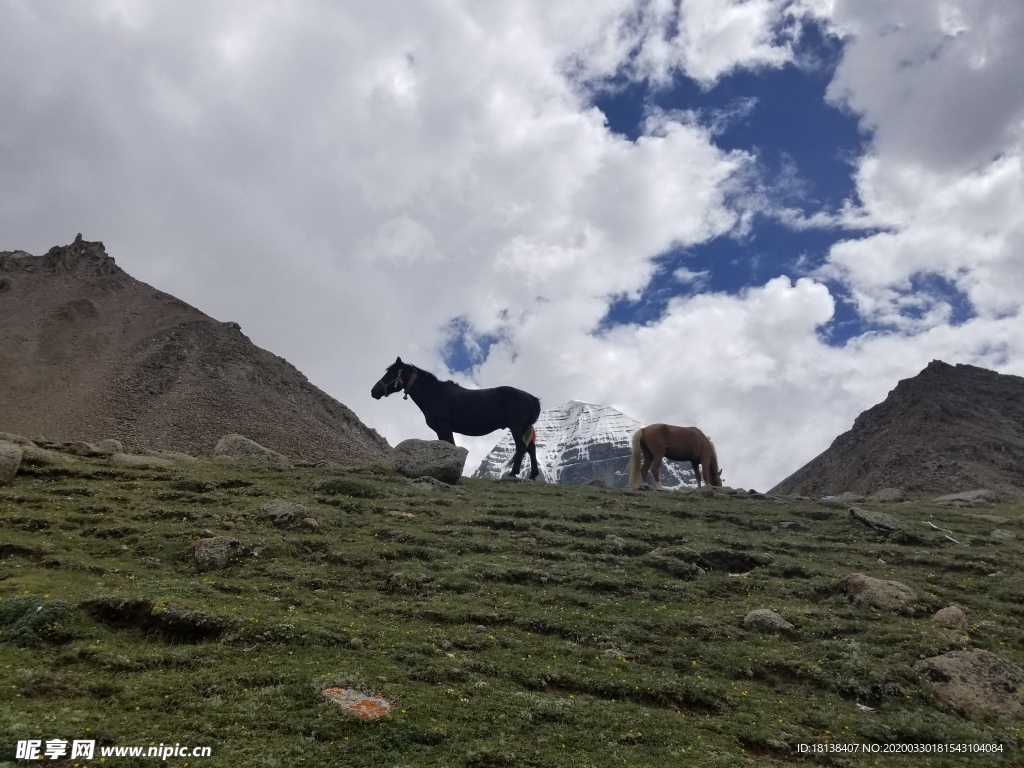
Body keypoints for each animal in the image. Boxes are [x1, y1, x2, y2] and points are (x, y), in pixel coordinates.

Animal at [370, 358, 544, 479]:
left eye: (391, 373)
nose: (374, 391)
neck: (435, 394)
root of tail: (531, 397)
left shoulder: (445, 426)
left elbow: (451, 445)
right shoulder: (440, 430)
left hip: (516, 427)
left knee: (521, 448)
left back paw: (513, 473)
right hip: (524, 428)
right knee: (531, 448)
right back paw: (533, 475)